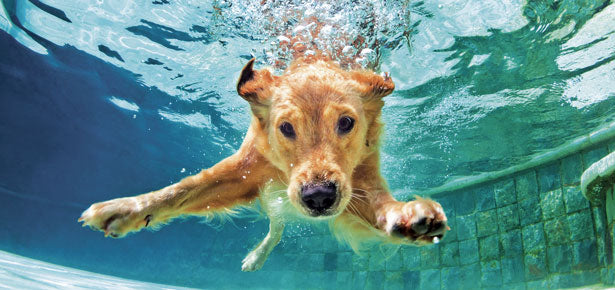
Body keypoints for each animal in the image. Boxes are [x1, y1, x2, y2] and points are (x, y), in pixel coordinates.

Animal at [79, 55, 450, 270]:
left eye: (346, 122)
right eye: (285, 127)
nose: (319, 197)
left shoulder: (359, 182)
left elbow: (381, 205)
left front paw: (408, 216)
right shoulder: (245, 170)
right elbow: (183, 189)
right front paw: (127, 209)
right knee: (276, 225)